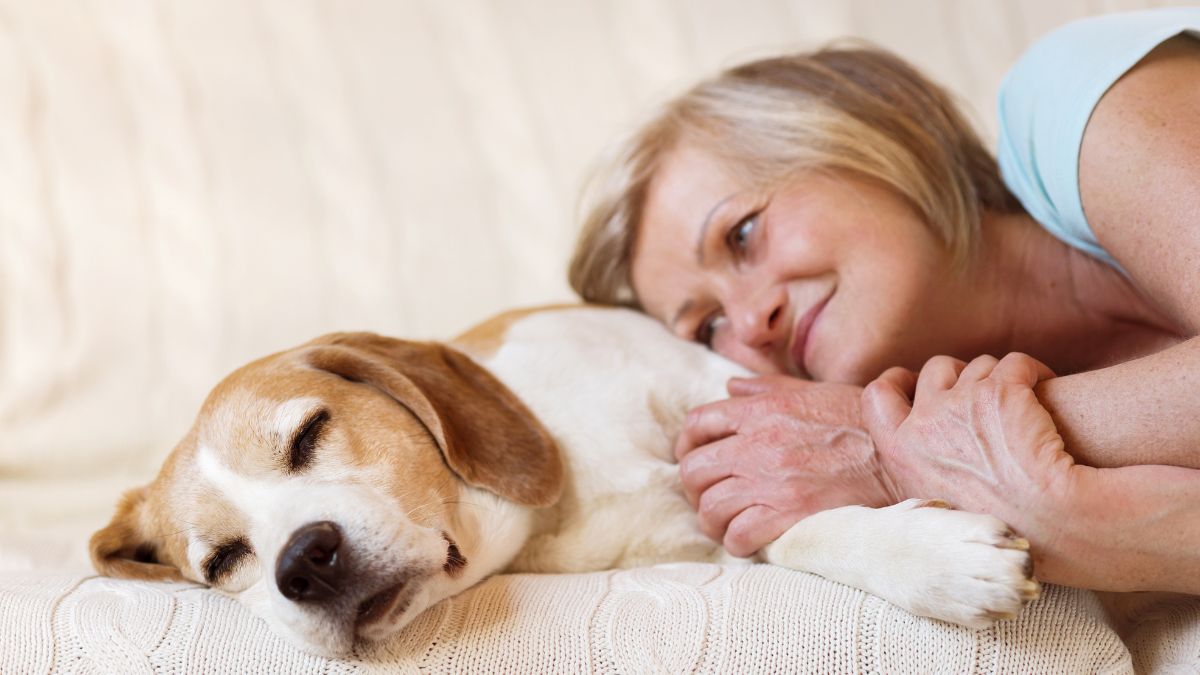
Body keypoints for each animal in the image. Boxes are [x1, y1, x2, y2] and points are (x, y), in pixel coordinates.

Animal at [88, 305, 1036, 653]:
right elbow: (790, 528)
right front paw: (932, 557)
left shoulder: (715, 391)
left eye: (310, 432)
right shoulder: (707, 536)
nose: (302, 561)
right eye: (223, 562)